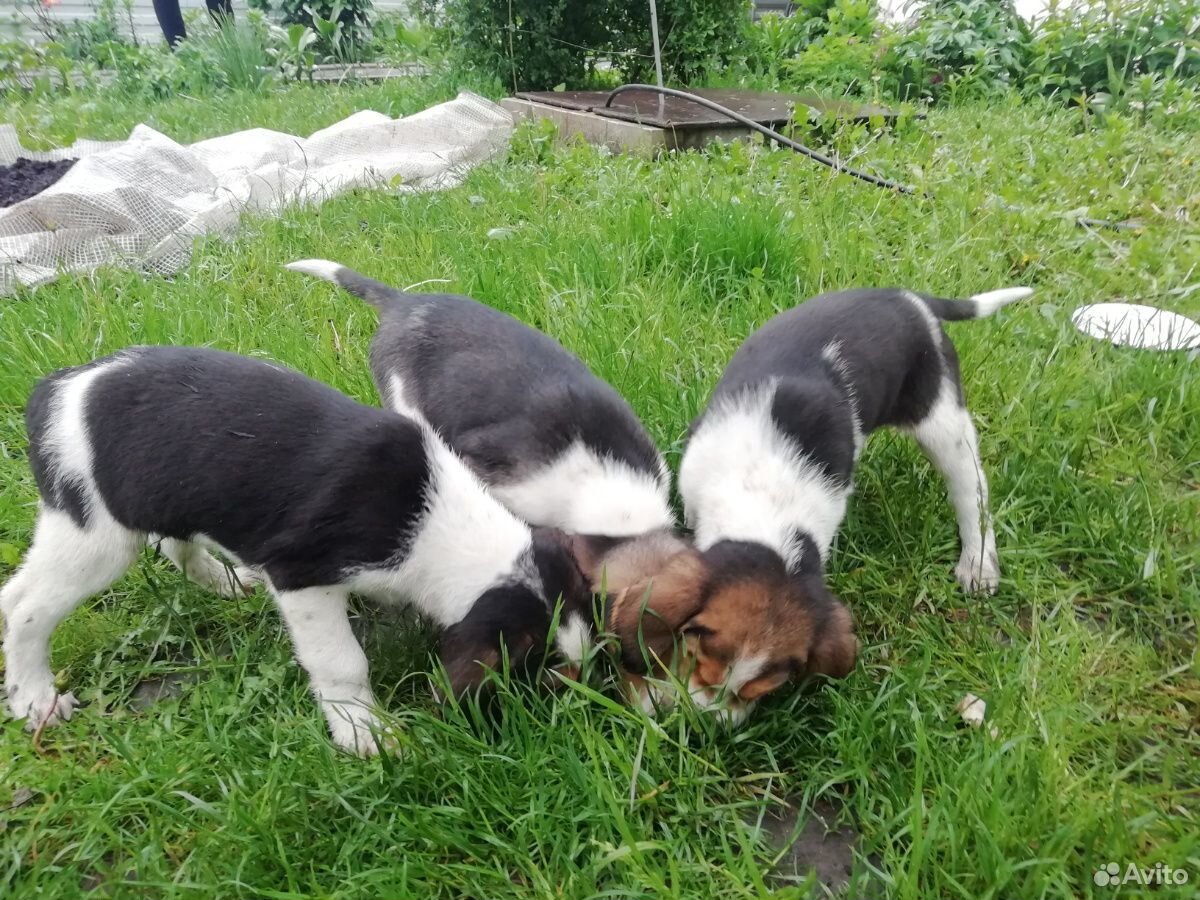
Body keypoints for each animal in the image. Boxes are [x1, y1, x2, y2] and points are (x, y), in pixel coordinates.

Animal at [0, 348, 590, 758]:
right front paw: (364, 731)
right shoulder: (301, 579)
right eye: (541, 666)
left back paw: (226, 582)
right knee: (25, 605)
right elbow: (342, 662)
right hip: (95, 534)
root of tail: (54, 389)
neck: (438, 523)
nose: (589, 705)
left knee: (169, 546)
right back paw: (35, 698)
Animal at [676, 285, 1032, 724]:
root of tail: (909, 297)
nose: (705, 726)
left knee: (972, 490)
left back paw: (979, 562)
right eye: (699, 659)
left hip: (942, 418)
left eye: (761, 691)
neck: (765, 503)